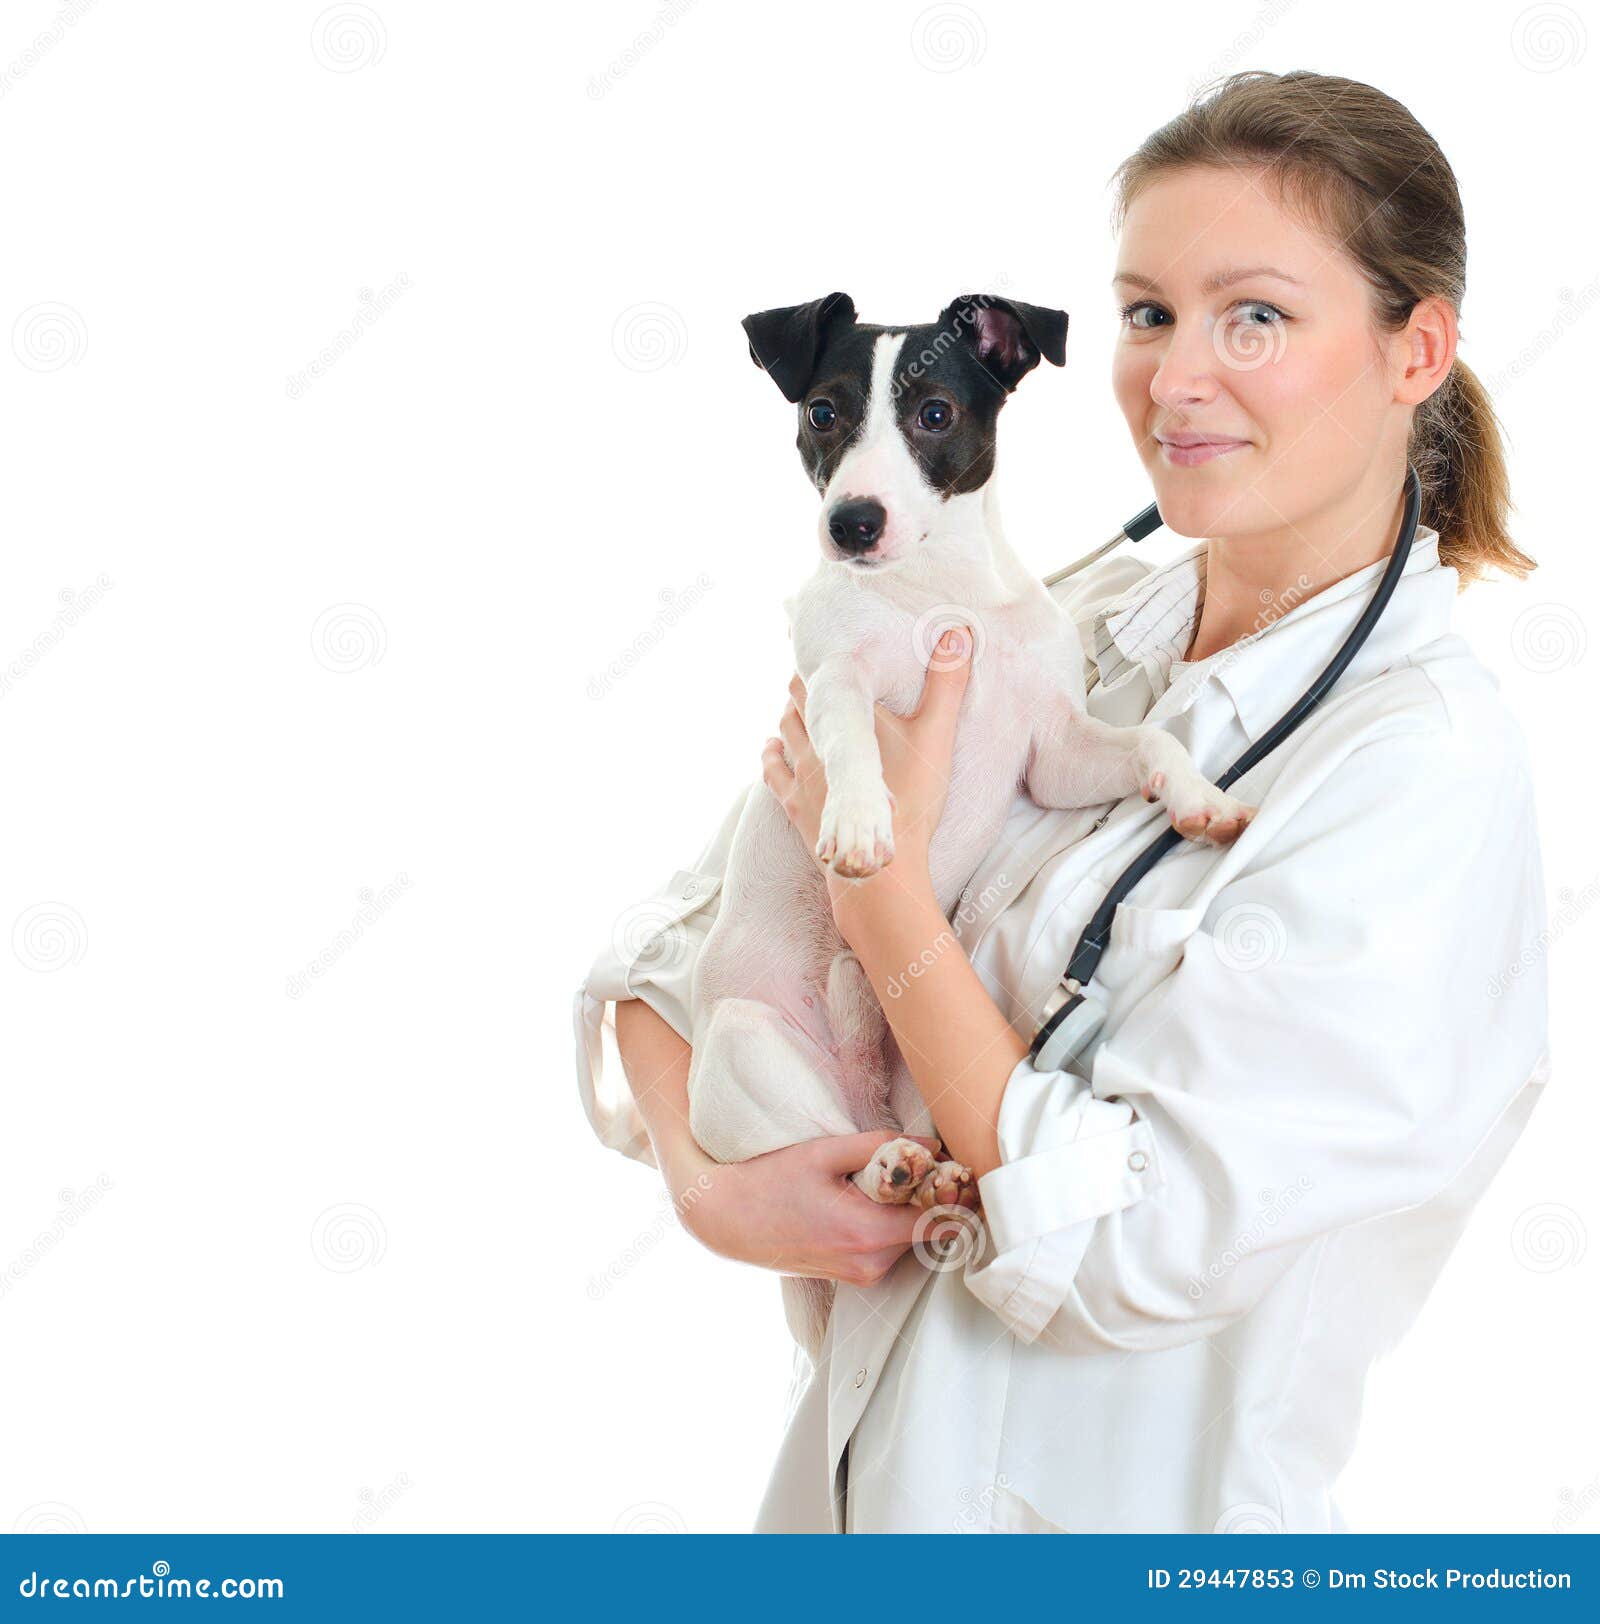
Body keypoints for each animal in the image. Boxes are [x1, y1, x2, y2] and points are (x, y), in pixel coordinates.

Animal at [682, 292, 1247, 1357]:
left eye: (935, 413)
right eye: (822, 412)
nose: (851, 524)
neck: (938, 597)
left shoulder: (1056, 752)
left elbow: (1149, 740)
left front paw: (1200, 793)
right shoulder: (834, 683)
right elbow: (849, 732)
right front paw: (863, 819)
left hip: (922, 1087)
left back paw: (932, 1174)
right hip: (746, 1046)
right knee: (835, 1156)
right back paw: (889, 1171)